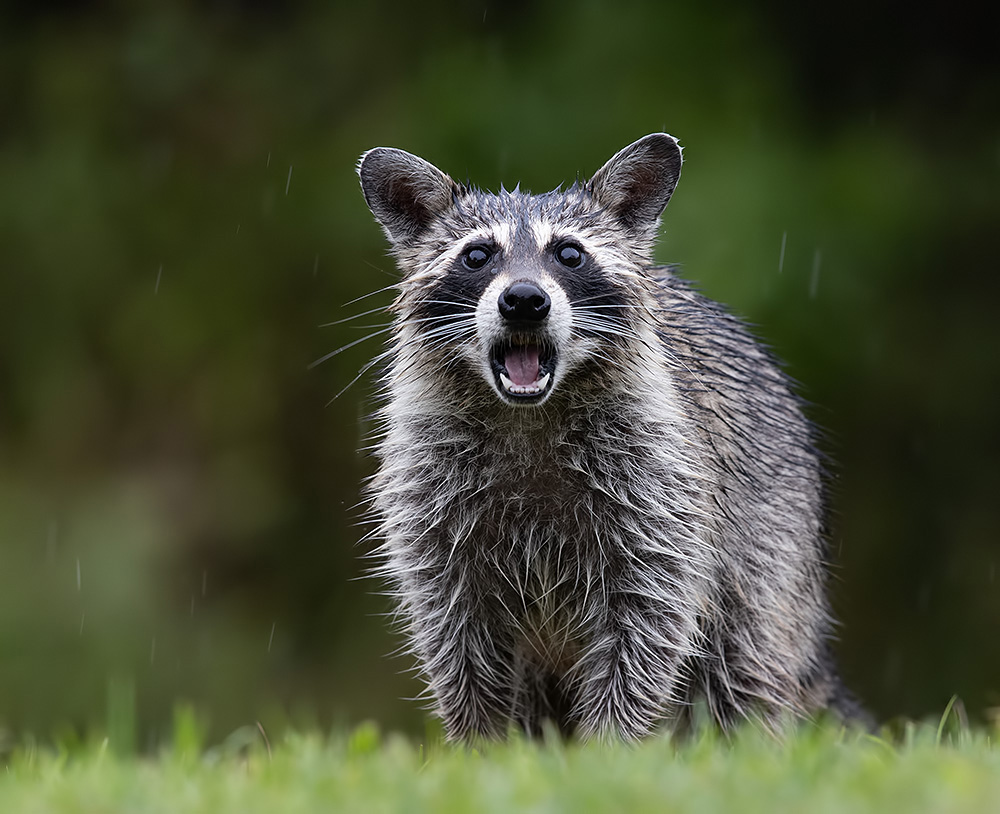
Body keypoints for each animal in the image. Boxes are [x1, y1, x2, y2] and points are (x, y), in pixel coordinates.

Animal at [354, 135, 860, 744]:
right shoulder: (431, 500)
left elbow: (648, 621)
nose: (524, 299)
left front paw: (612, 746)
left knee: (744, 660)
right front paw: (483, 744)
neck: (528, 415)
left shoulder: (661, 486)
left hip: (771, 537)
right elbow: (456, 634)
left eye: (569, 254)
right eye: (477, 256)